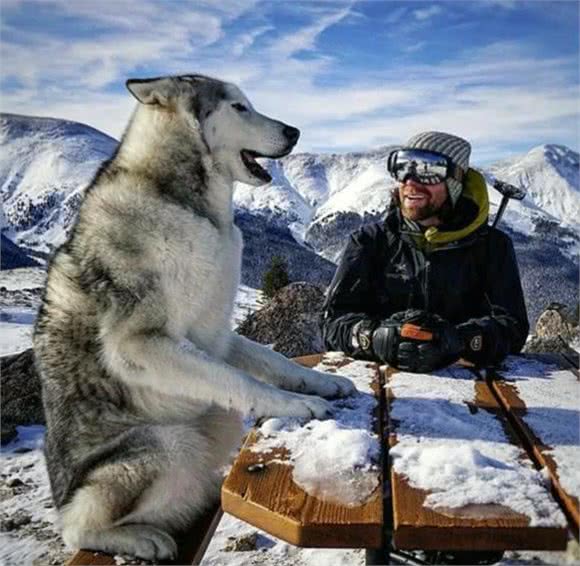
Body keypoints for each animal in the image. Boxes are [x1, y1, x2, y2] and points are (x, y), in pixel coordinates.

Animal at [32, 75, 358, 564]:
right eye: (239, 107)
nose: (295, 132)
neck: (186, 203)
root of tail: (61, 498)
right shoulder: (141, 344)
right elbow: (240, 380)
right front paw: (295, 405)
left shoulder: (216, 334)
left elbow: (272, 361)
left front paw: (322, 382)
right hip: (169, 444)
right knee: (78, 528)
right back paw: (141, 538)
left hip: (213, 423)